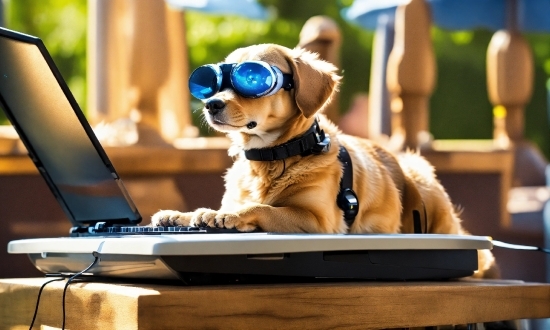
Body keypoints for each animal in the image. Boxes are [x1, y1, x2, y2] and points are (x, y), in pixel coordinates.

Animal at [152, 43, 500, 276]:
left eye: (252, 79)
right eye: (211, 82)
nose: (211, 104)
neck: (271, 157)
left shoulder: (319, 221)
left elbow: (263, 208)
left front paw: (230, 215)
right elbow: (211, 209)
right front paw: (181, 214)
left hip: (422, 179)